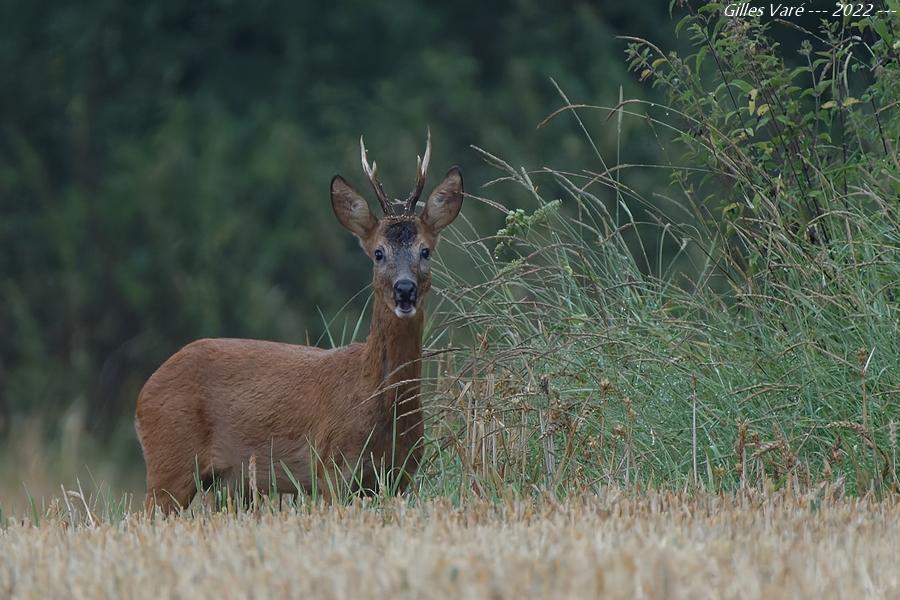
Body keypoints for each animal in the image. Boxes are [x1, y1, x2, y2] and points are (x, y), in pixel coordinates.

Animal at [137, 132, 468, 516]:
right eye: (378, 252)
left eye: (425, 251)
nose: (405, 290)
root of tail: (144, 395)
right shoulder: (331, 467)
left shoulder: (400, 474)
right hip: (170, 460)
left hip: (228, 482)